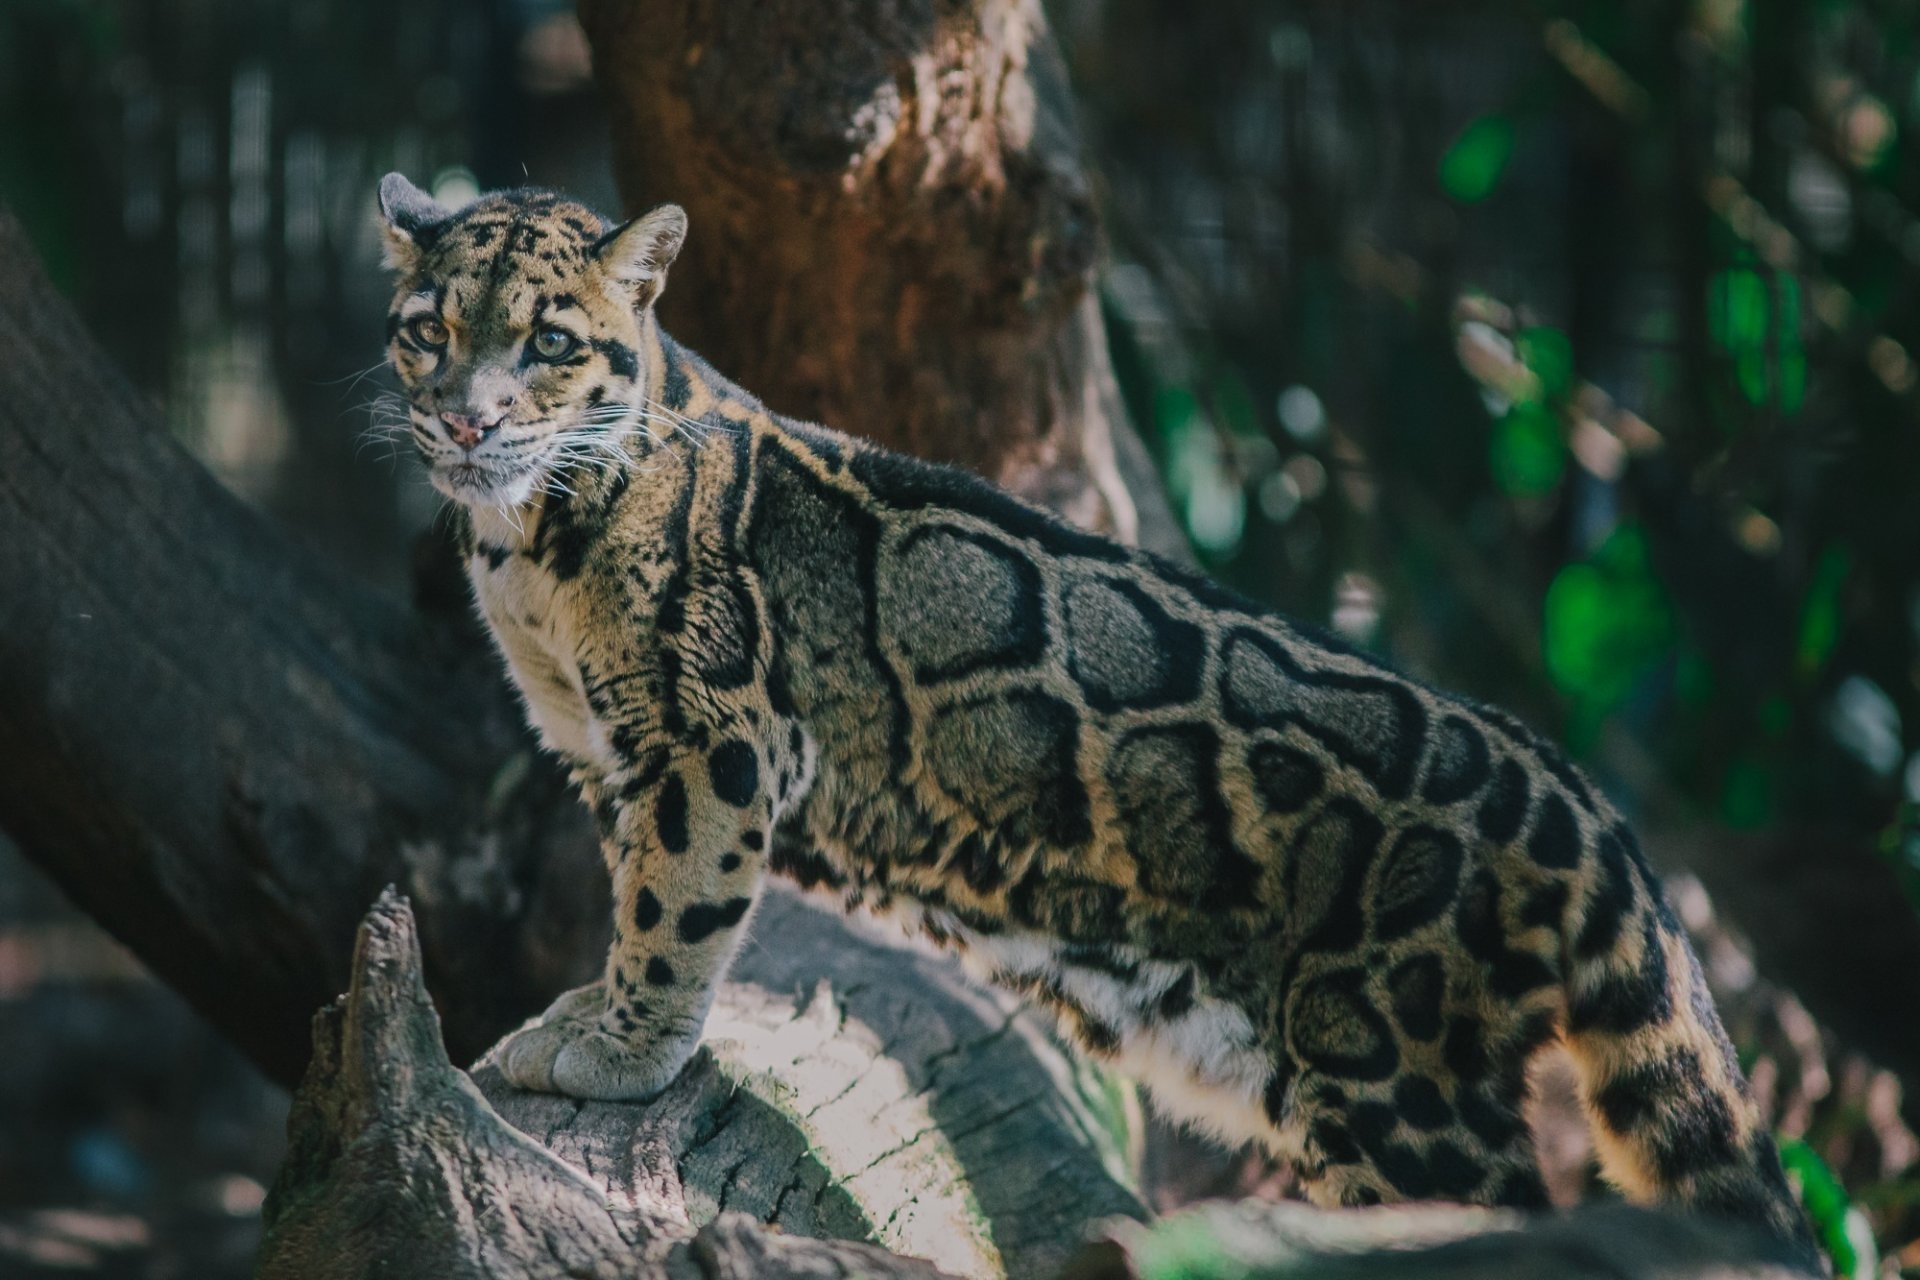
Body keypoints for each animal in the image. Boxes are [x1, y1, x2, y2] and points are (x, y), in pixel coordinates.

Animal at [372, 172, 1818, 1268]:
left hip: (1397, 1081)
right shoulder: (602, 742)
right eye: (425, 329)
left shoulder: (712, 736)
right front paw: (586, 1009)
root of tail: (1581, 804)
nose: (464, 420)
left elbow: (673, 907)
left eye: (552, 342)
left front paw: (619, 1045)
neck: (526, 545)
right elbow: (633, 885)